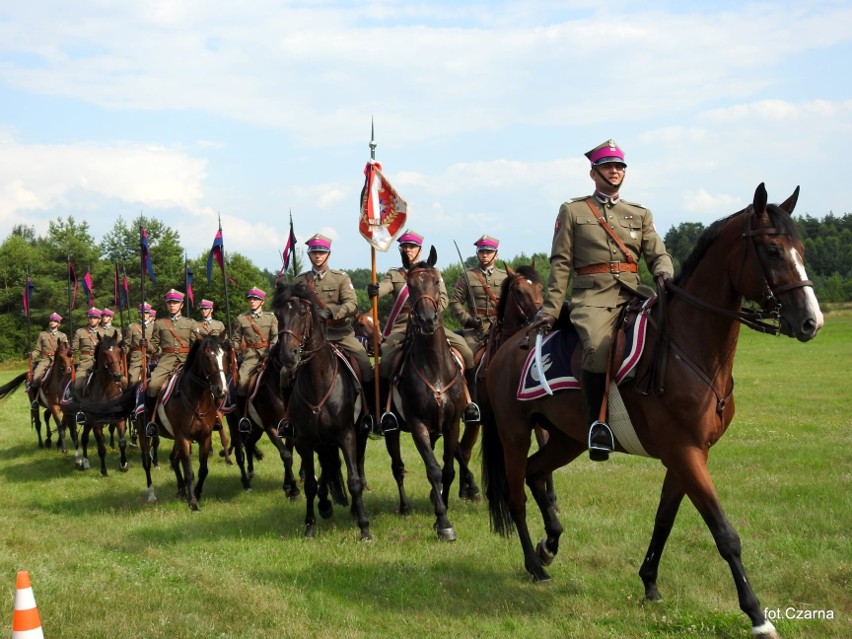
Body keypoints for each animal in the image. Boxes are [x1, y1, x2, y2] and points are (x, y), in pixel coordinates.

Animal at [73, 336, 130, 476]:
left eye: (119, 351)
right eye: (104, 353)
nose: (117, 375)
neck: (106, 391)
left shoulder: (119, 419)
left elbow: (122, 442)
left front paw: (123, 464)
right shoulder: (96, 423)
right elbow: (101, 447)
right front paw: (104, 470)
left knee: (84, 438)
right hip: (87, 421)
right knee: (84, 439)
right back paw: (85, 462)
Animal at [270, 284, 370, 540]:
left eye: (303, 313)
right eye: (278, 315)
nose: (288, 355)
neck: (318, 382)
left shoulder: (346, 435)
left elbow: (353, 480)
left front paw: (364, 527)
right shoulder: (305, 440)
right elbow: (310, 484)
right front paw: (310, 525)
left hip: (356, 434)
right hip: (321, 441)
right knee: (326, 466)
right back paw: (325, 505)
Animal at [384, 248, 466, 544]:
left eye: (436, 280)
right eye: (410, 285)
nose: (428, 320)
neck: (434, 366)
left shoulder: (452, 423)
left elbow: (448, 469)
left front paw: (442, 506)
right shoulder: (417, 423)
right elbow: (433, 469)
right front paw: (443, 523)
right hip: (393, 431)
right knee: (397, 467)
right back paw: (405, 506)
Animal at [482, 185, 824, 639]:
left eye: (800, 249)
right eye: (771, 250)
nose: (811, 322)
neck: (688, 347)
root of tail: (505, 346)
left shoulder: (688, 455)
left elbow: (665, 518)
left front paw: (649, 583)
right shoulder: (685, 452)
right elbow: (724, 533)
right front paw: (757, 615)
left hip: (568, 439)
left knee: (538, 474)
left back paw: (550, 545)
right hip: (515, 434)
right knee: (516, 495)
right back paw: (535, 565)